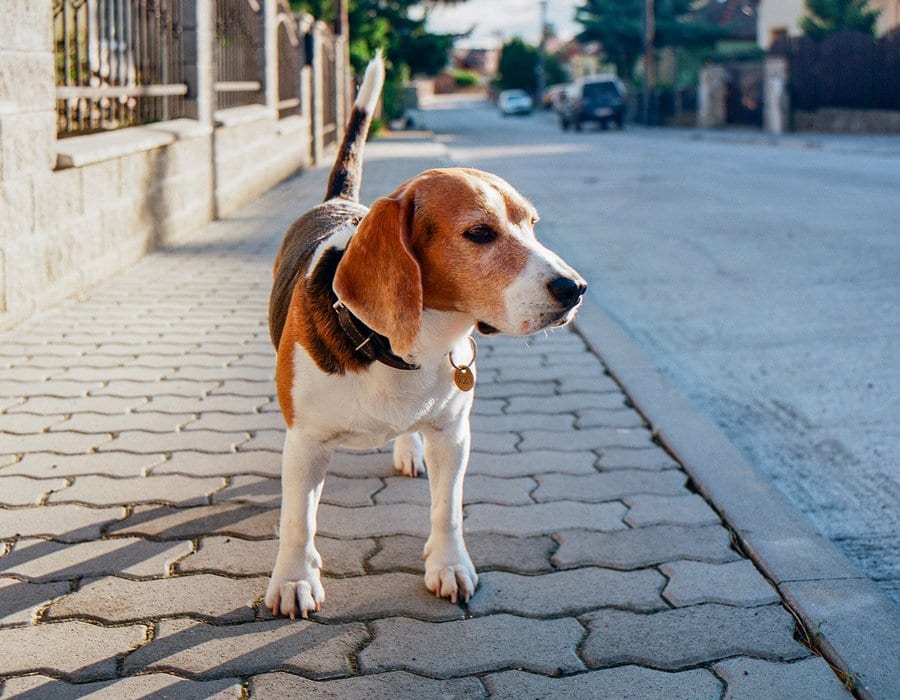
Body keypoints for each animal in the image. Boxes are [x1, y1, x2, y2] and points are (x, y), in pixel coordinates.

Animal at [264, 52, 588, 616]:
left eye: (532, 224)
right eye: (479, 232)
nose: (575, 289)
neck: (393, 348)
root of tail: (339, 201)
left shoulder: (453, 435)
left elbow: (447, 508)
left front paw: (449, 566)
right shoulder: (304, 443)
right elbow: (297, 520)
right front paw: (294, 579)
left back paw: (406, 449)